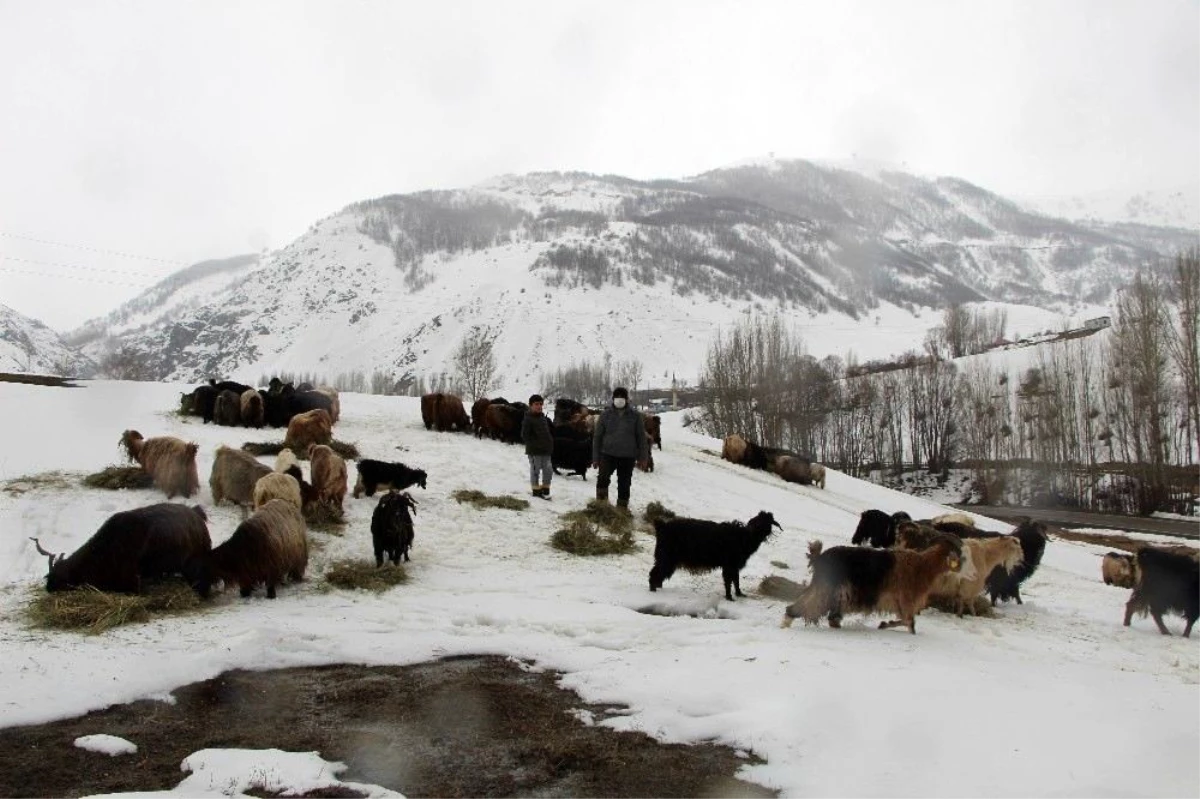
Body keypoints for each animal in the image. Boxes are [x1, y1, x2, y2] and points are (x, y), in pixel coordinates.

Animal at [652, 511, 782, 597]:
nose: (758, 529)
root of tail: (661, 526)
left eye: (768, 522)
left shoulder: (734, 566)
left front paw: (739, 594)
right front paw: (729, 598)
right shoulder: (729, 565)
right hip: (666, 557)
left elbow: (736, 580)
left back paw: (658, 587)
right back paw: (653, 590)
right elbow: (729, 581)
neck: (744, 537)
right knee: (654, 573)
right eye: (760, 521)